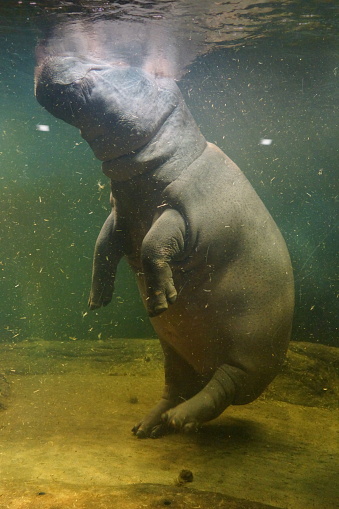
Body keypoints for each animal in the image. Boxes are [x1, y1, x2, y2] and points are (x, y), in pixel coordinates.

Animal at [34, 56, 294, 436]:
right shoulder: (121, 211)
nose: (48, 57)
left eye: (104, 63)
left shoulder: (180, 212)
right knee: (179, 388)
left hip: (249, 356)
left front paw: (160, 301)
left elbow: (152, 245)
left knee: (221, 390)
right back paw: (148, 426)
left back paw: (181, 419)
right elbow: (102, 247)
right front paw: (97, 301)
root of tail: (205, 366)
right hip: (175, 353)